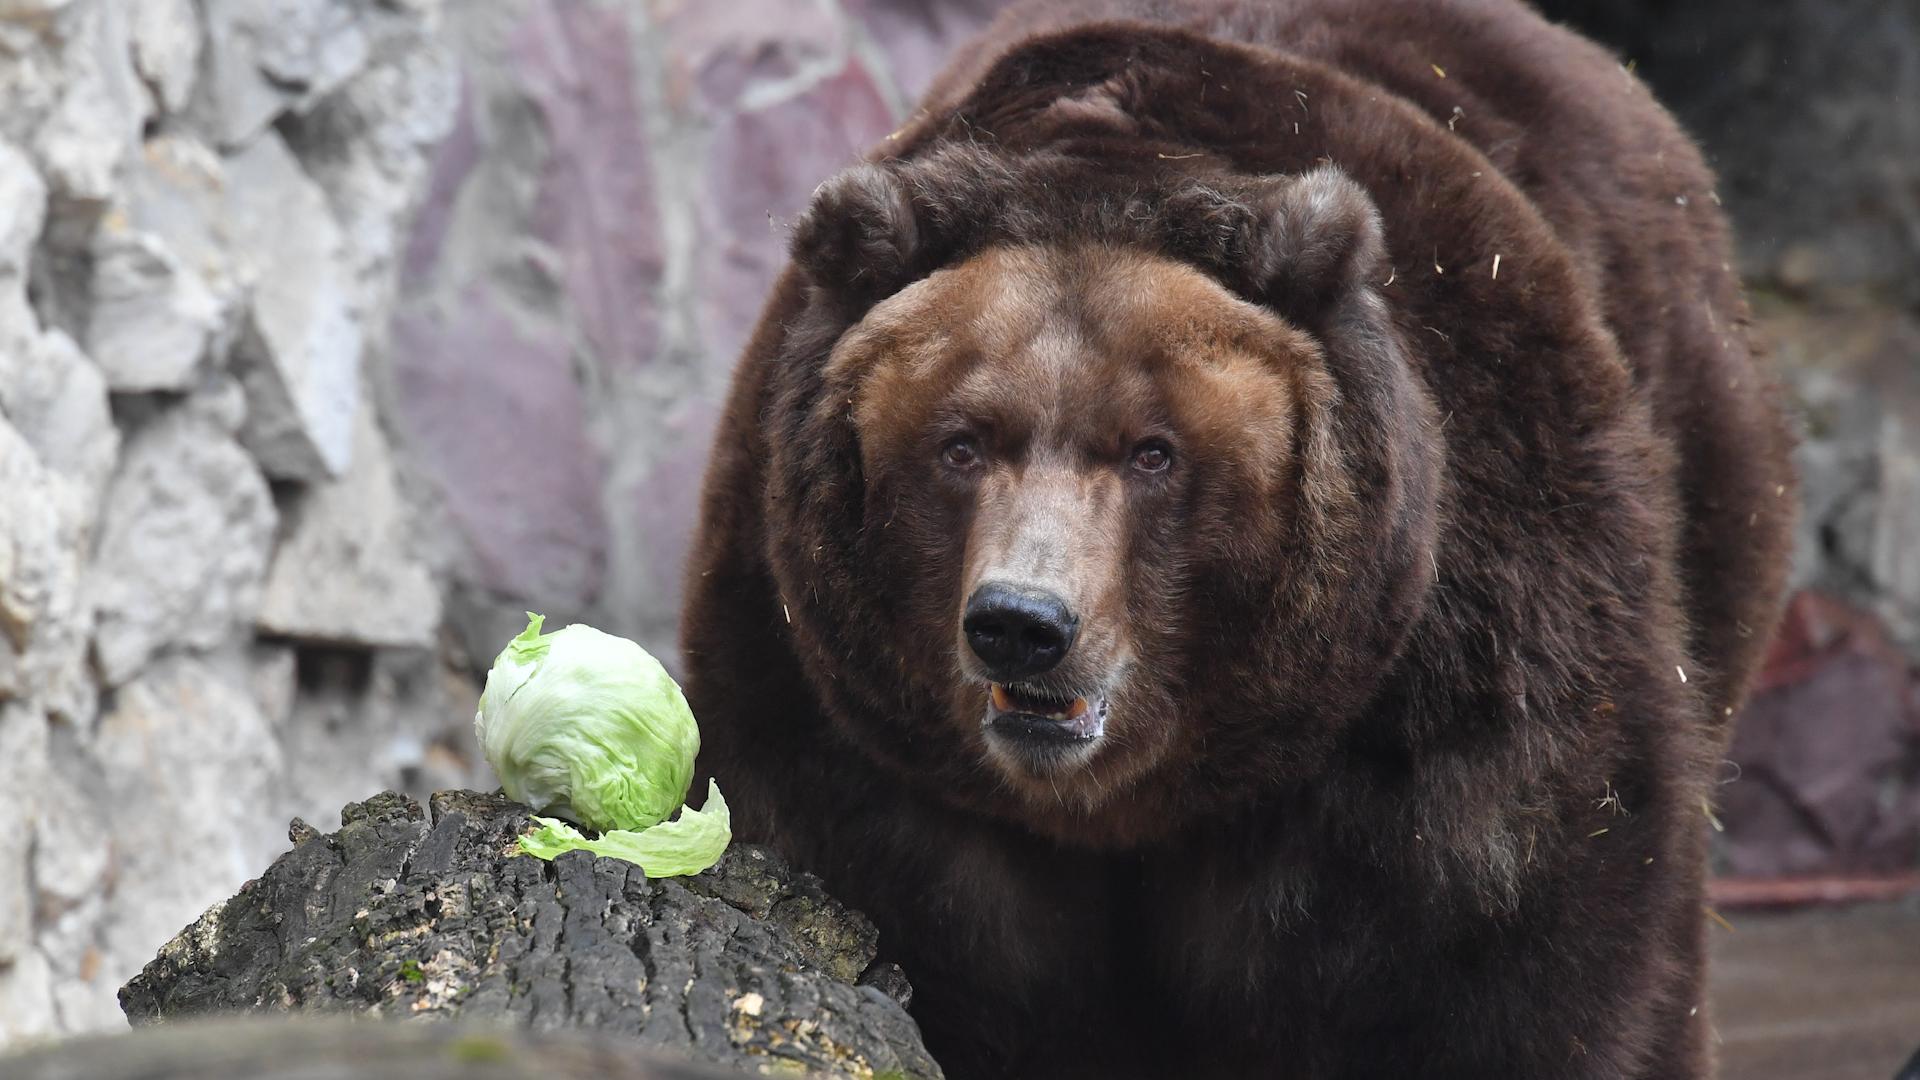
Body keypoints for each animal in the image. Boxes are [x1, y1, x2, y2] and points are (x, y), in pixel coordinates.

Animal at [679, 4, 1797, 1068]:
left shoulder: (1460, 696)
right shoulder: (847, 731)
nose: (1023, 625)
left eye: (1153, 451)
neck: (1141, 801)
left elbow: (1521, 973)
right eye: (960, 442)